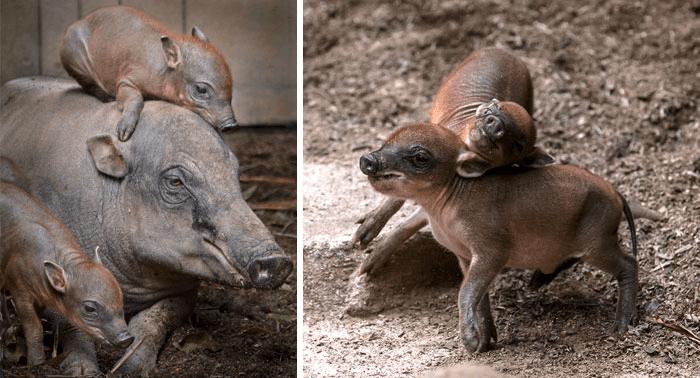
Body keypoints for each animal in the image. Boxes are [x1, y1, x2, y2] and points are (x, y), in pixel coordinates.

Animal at [0, 77, 292, 376]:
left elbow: (155, 319)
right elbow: (68, 321)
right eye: (175, 182)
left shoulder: (186, 292)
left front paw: (130, 369)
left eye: (237, 175)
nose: (277, 260)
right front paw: (85, 371)